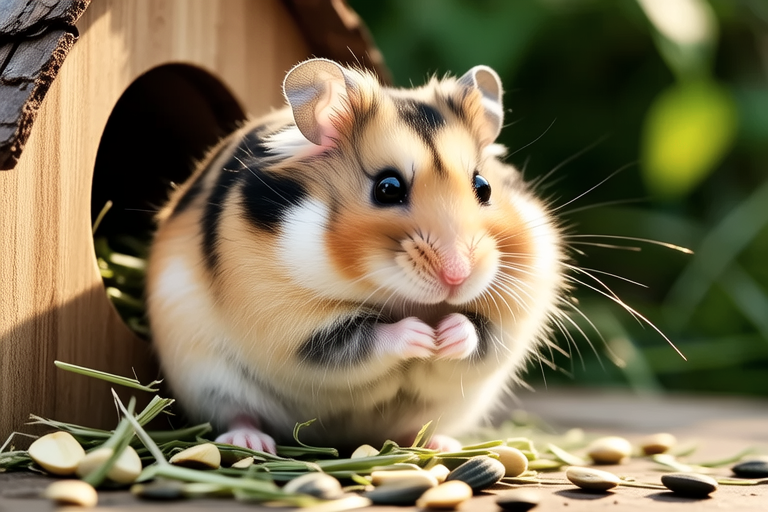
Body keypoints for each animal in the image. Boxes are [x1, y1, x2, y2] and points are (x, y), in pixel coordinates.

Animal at [146, 58, 564, 453]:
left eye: (484, 186)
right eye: (388, 188)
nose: (457, 277)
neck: (403, 297)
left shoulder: (511, 320)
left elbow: (477, 333)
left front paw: (445, 335)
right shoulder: (293, 326)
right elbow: (367, 337)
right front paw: (422, 335)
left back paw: (441, 444)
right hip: (207, 378)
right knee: (238, 413)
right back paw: (250, 442)